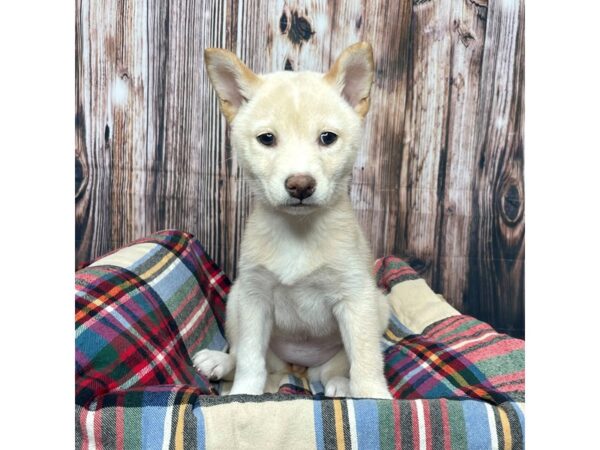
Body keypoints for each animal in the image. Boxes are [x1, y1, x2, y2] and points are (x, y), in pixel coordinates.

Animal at [191, 44, 390, 400]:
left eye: (328, 138)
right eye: (267, 139)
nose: (300, 185)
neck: (299, 231)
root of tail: (299, 369)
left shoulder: (356, 298)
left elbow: (366, 361)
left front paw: (375, 399)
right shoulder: (254, 299)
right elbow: (251, 360)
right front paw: (244, 394)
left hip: (380, 308)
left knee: (338, 367)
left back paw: (340, 384)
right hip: (235, 301)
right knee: (244, 355)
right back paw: (220, 362)